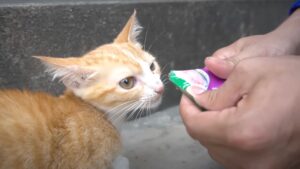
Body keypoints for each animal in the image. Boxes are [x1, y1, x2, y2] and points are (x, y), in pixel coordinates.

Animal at [0, 11, 164, 168]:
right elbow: (121, 163)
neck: (104, 116)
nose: (160, 88)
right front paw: (121, 161)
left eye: (152, 66)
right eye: (127, 82)